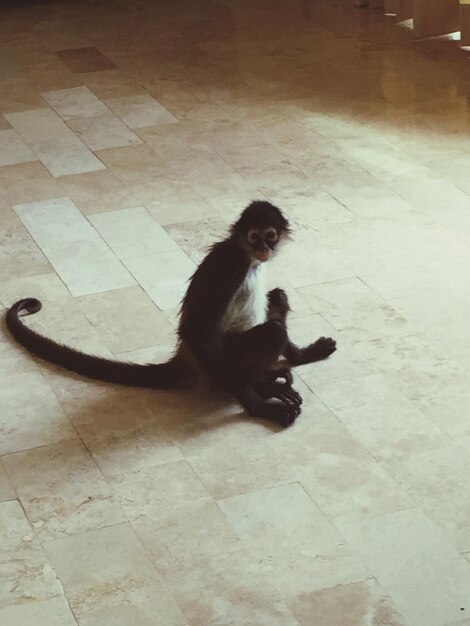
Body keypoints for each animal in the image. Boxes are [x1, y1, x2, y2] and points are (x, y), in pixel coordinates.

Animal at [7, 202, 338, 426]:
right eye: (254, 237)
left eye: (271, 235)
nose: (265, 248)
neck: (247, 258)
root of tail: (188, 359)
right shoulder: (228, 263)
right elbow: (195, 329)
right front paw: (261, 408)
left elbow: (276, 296)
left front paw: (304, 354)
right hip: (224, 361)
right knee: (272, 332)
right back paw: (261, 386)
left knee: (277, 295)